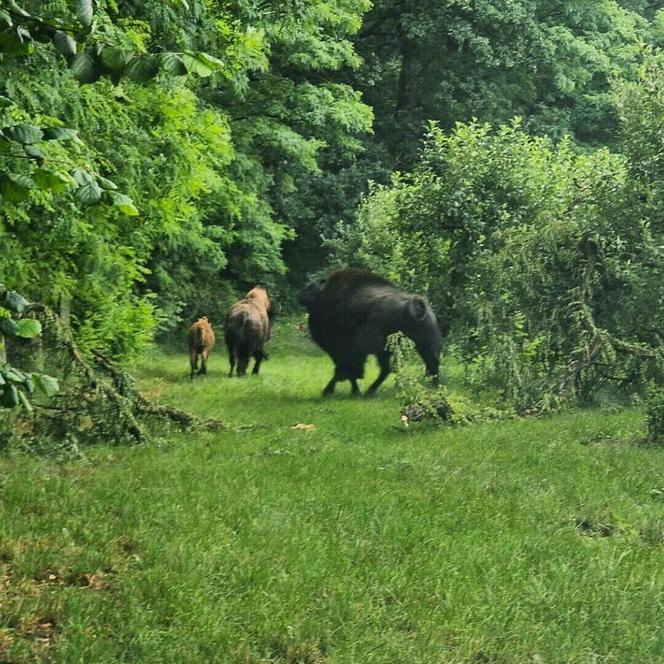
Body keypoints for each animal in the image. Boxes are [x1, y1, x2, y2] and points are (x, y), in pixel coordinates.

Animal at [300, 268, 440, 396]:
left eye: (310, 288)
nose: (300, 294)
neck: (322, 297)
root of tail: (414, 304)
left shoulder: (344, 351)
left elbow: (343, 370)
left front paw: (330, 390)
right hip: (420, 346)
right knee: (430, 366)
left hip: (390, 350)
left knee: (389, 369)